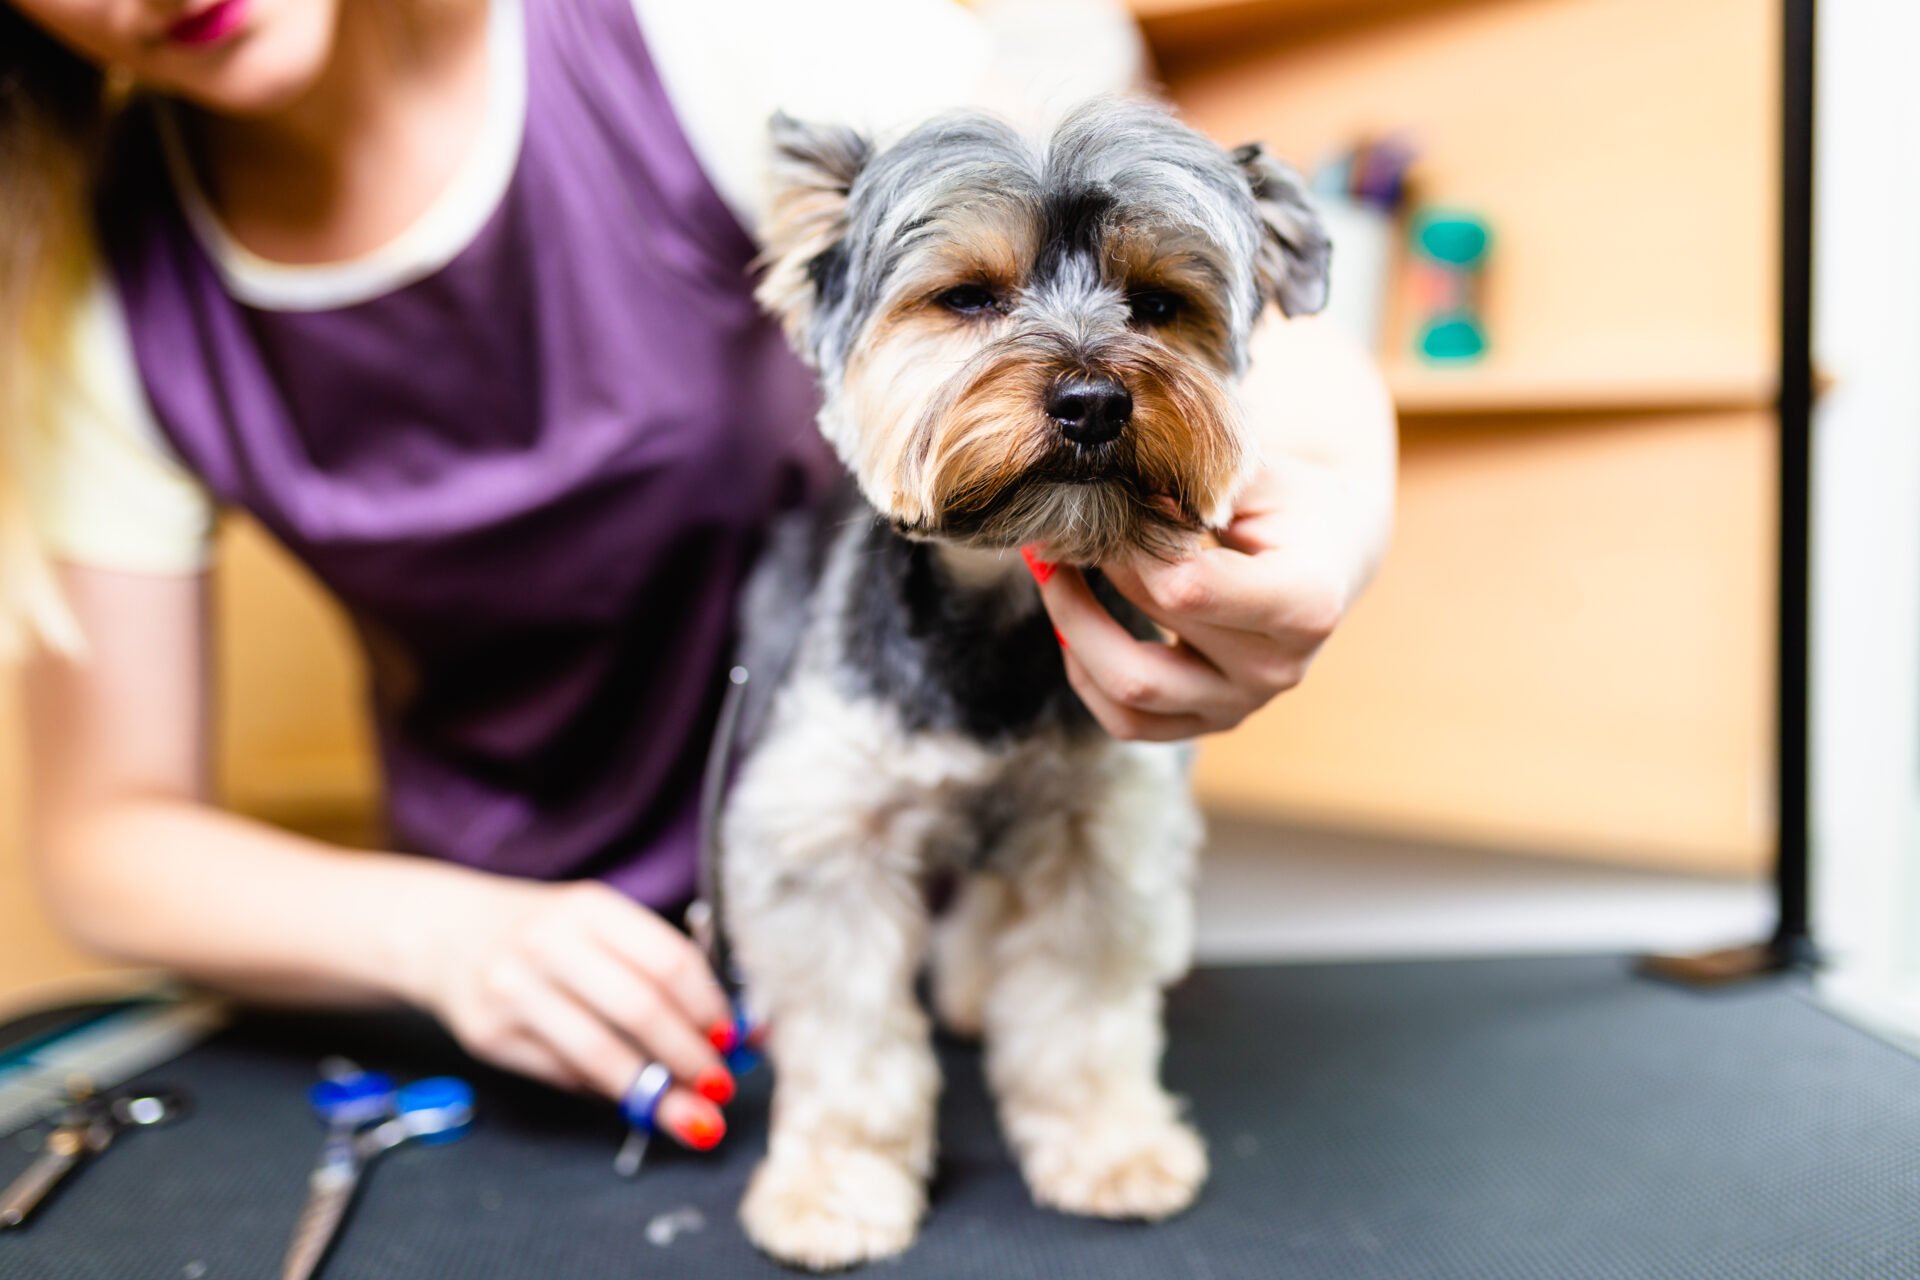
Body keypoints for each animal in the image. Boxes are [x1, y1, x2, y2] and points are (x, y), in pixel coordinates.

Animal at [714, 100, 1328, 1274]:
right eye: (967, 297)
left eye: (1159, 304)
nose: (1093, 399)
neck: (997, 619)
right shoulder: (829, 846)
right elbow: (853, 1042)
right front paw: (838, 1188)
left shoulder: (1101, 834)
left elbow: (1079, 1017)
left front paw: (1106, 1149)